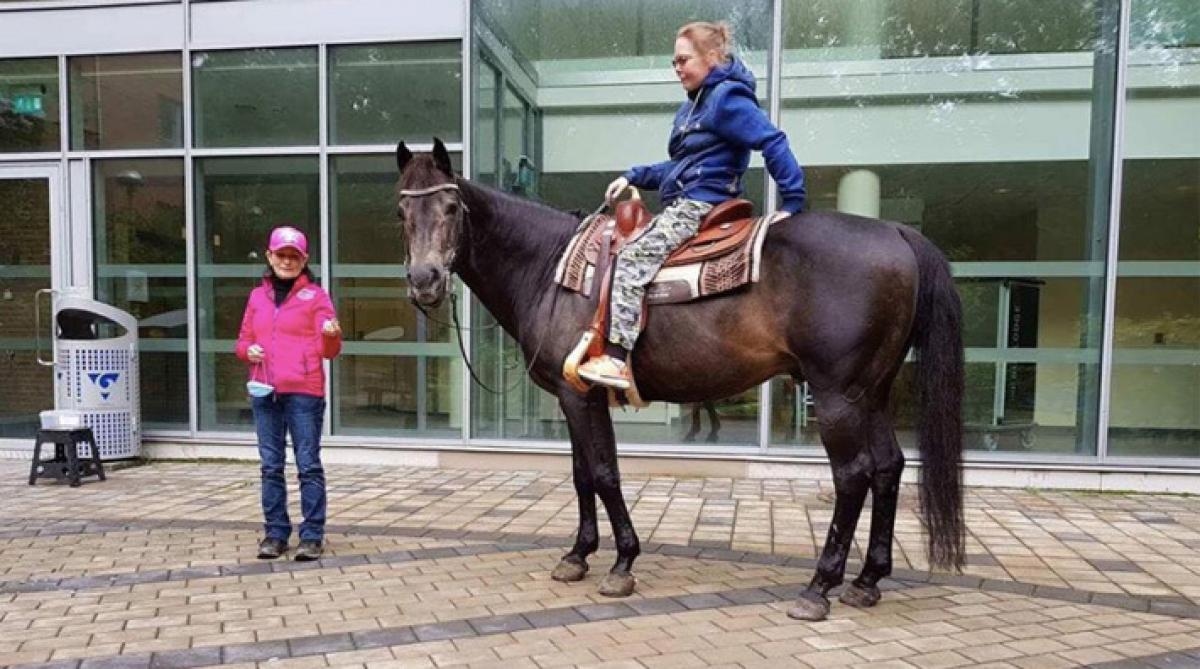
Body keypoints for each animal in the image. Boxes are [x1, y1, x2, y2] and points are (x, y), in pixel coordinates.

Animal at [393, 140, 964, 623]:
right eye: (402, 212)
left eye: (450, 209)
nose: (425, 281)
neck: (550, 268)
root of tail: (896, 232)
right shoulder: (576, 398)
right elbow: (582, 475)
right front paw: (578, 555)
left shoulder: (579, 396)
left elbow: (602, 473)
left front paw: (621, 564)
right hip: (872, 392)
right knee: (888, 467)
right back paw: (867, 581)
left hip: (837, 395)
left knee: (853, 475)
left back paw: (818, 588)